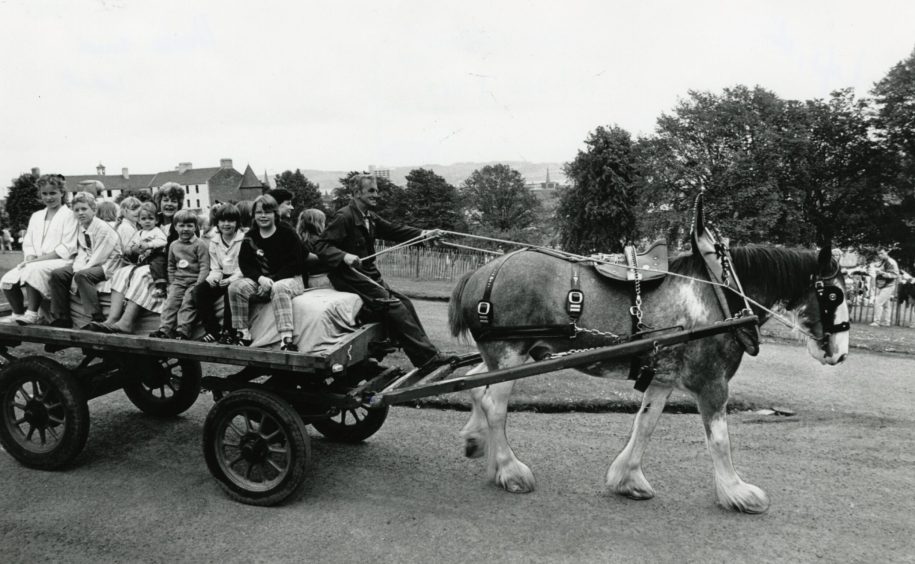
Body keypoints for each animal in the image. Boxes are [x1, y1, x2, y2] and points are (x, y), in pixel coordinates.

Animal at [448, 236, 848, 512]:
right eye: (835, 295)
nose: (841, 353)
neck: (721, 293)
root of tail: (480, 273)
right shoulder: (711, 382)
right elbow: (719, 440)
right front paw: (736, 492)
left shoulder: (662, 379)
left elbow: (645, 424)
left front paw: (627, 478)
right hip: (510, 353)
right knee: (494, 404)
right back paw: (509, 470)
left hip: (506, 357)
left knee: (476, 383)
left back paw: (478, 442)